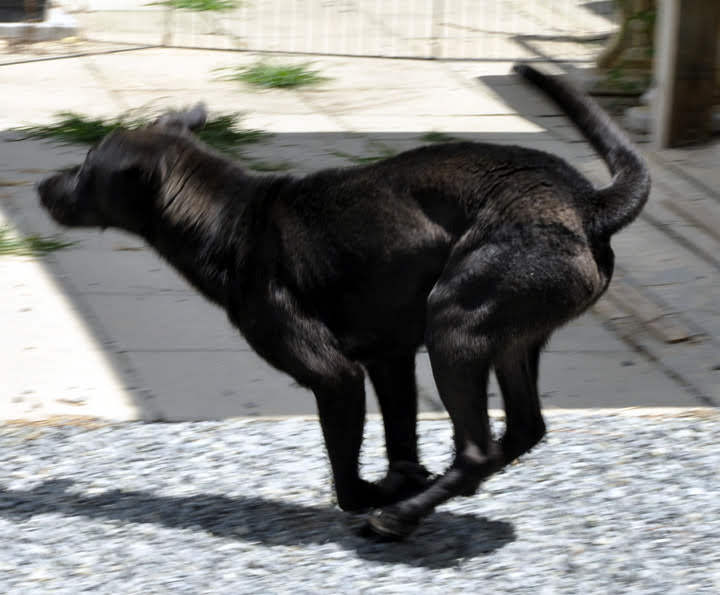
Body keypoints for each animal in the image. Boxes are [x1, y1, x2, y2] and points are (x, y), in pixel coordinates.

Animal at [36, 65, 648, 540]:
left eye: (87, 169)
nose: (42, 186)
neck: (232, 219)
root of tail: (589, 203)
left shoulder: (336, 376)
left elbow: (346, 477)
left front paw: (379, 497)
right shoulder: (389, 360)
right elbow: (401, 437)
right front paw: (405, 480)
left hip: (456, 326)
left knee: (478, 450)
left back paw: (397, 519)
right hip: (508, 342)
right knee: (520, 432)